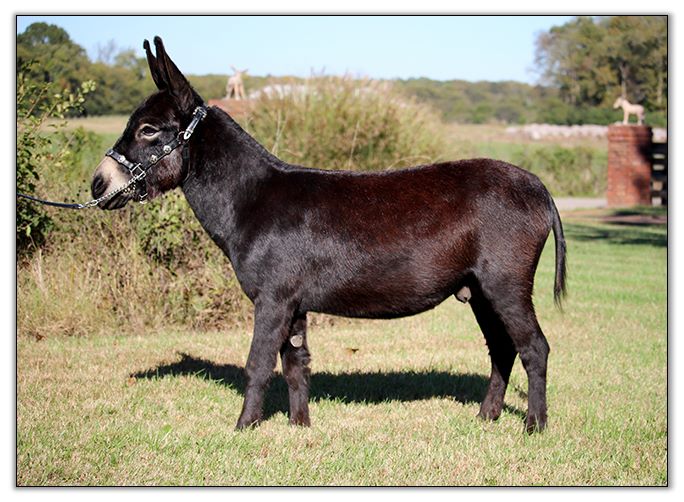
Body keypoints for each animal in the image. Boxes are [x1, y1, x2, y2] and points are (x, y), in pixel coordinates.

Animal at [91, 37, 567, 434]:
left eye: (148, 130)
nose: (97, 185)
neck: (251, 199)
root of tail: (538, 186)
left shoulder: (273, 298)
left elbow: (258, 364)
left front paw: (243, 428)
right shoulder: (294, 303)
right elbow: (296, 364)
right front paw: (300, 426)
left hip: (505, 283)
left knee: (535, 348)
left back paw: (534, 426)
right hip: (480, 290)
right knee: (503, 349)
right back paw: (487, 417)